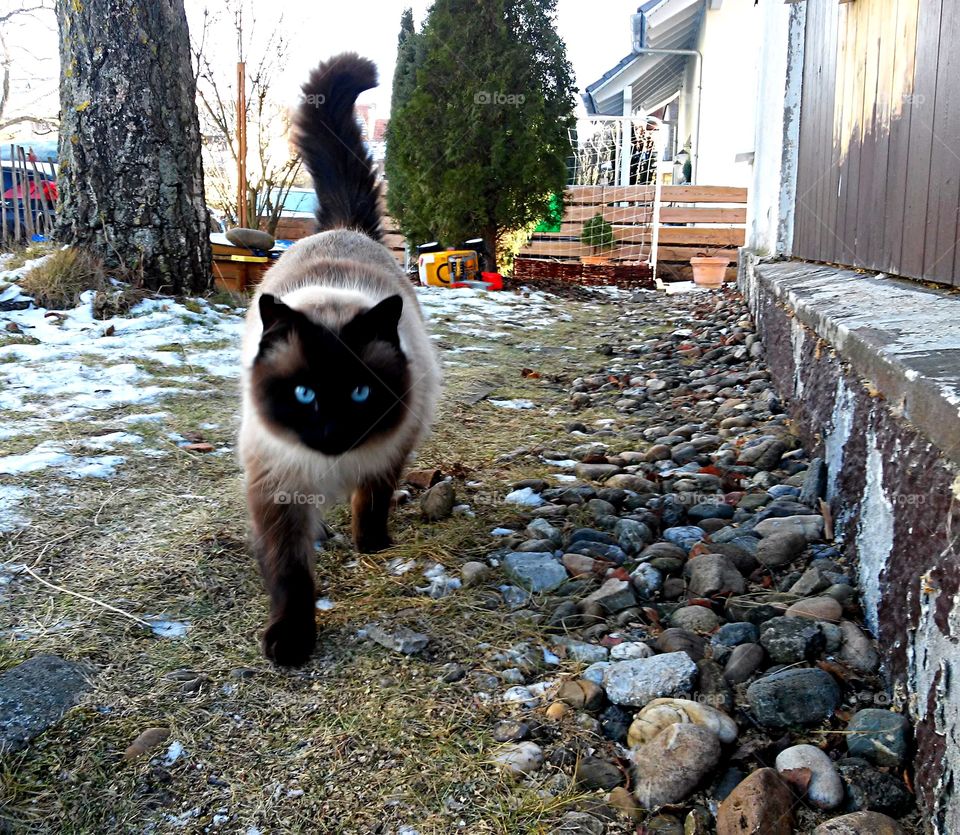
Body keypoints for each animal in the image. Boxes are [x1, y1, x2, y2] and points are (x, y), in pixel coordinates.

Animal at [238, 54, 440, 668]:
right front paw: (291, 642)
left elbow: (371, 501)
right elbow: (290, 574)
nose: (330, 432)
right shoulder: (278, 487)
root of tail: (344, 230)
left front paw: (371, 544)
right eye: (304, 394)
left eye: (359, 393)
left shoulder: (390, 450)